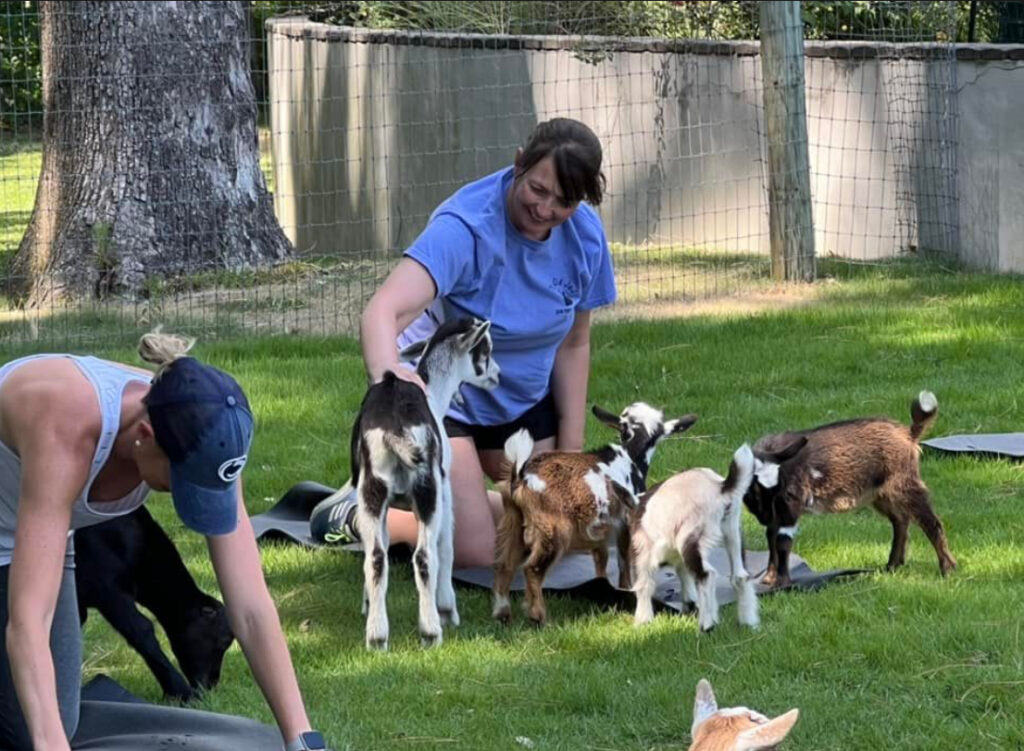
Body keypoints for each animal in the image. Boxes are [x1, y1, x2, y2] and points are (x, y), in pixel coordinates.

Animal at [348, 313, 499, 647]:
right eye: (484, 349)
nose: (497, 375)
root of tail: (395, 427)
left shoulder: (386, 508)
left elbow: (380, 549)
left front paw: (366, 604)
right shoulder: (445, 494)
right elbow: (446, 547)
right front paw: (448, 609)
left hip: (371, 491)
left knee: (376, 556)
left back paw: (377, 636)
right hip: (427, 489)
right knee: (424, 556)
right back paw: (431, 631)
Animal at [491, 401, 700, 622]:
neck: (629, 457)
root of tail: (521, 476)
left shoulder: (600, 527)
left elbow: (602, 557)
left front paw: (604, 586)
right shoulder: (626, 520)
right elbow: (624, 559)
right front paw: (625, 589)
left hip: (513, 520)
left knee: (504, 564)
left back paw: (502, 613)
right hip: (552, 528)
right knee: (532, 568)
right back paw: (539, 617)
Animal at [630, 442, 761, 631]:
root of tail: (721, 488)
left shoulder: (642, 550)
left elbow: (644, 583)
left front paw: (642, 621)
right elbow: (684, 575)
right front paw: (689, 605)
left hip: (692, 537)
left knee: (706, 575)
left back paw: (706, 625)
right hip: (732, 530)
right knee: (740, 575)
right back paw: (748, 622)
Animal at [741, 389, 954, 590]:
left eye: (775, 490)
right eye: (754, 493)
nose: (765, 517)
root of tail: (909, 434)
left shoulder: (790, 504)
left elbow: (782, 541)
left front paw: (782, 583)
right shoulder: (777, 511)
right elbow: (771, 537)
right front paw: (769, 578)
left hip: (904, 483)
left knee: (931, 522)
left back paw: (947, 569)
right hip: (880, 494)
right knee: (900, 520)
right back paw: (892, 565)